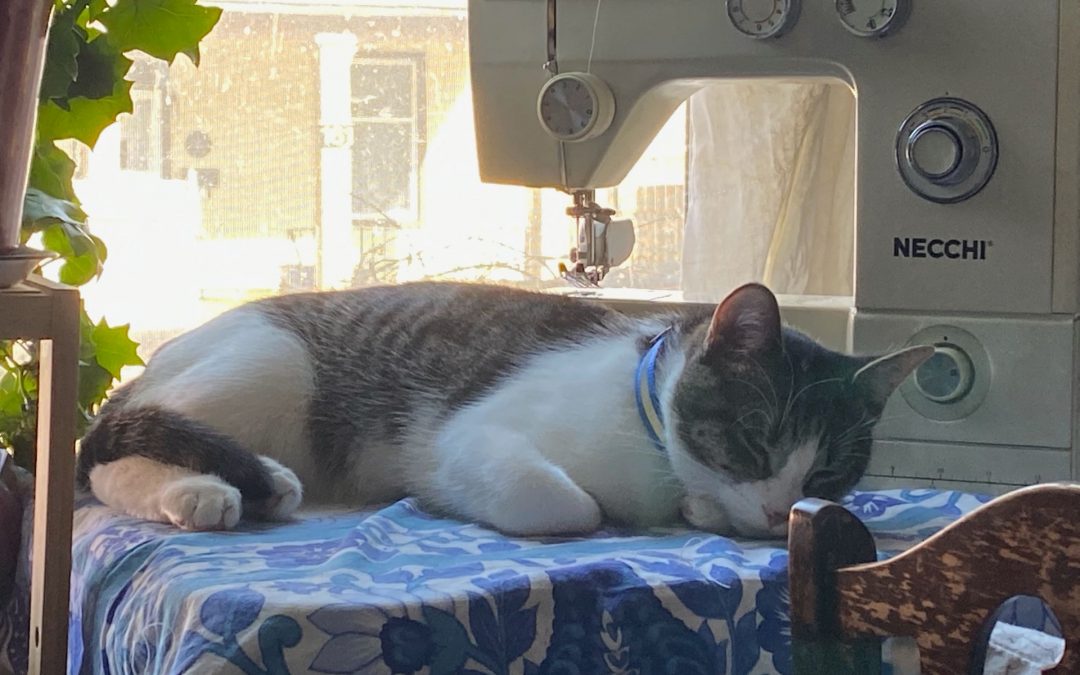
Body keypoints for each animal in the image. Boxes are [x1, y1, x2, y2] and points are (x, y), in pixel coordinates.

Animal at [79, 278, 933, 537]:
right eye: (755, 440)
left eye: (827, 474)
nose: (781, 510)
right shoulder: (463, 435)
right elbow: (566, 503)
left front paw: (709, 511)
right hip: (271, 367)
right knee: (99, 458)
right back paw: (207, 489)